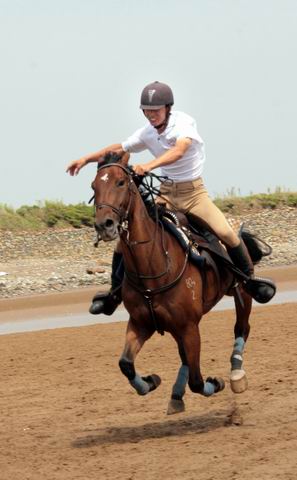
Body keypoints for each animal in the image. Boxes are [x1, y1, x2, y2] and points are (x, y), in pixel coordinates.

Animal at [91, 153, 254, 412]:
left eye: (121, 182)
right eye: (94, 186)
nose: (104, 225)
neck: (154, 265)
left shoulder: (189, 327)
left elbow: (198, 381)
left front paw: (216, 382)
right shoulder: (141, 323)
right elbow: (125, 364)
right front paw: (150, 381)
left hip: (242, 292)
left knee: (242, 327)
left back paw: (236, 373)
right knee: (184, 357)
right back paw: (176, 394)